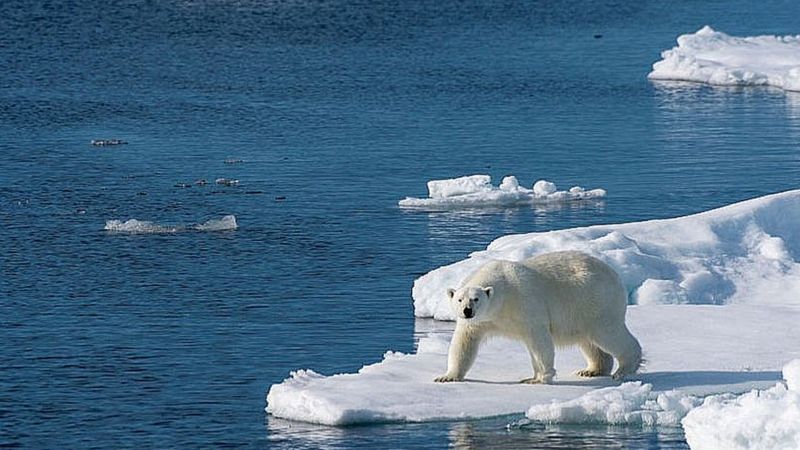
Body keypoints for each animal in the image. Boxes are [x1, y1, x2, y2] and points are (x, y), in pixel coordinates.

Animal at [434, 250, 640, 384]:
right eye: (460, 299)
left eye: (476, 299)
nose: (467, 311)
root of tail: (615, 274)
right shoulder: (478, 322)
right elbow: (464, 343)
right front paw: (446, 376)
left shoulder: (525, 303)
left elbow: (538, 339)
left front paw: (541, 378)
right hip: (583, 311)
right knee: (590, 342)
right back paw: (591, 370)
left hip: (596, 301)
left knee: (608, 333)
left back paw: (623, 370)